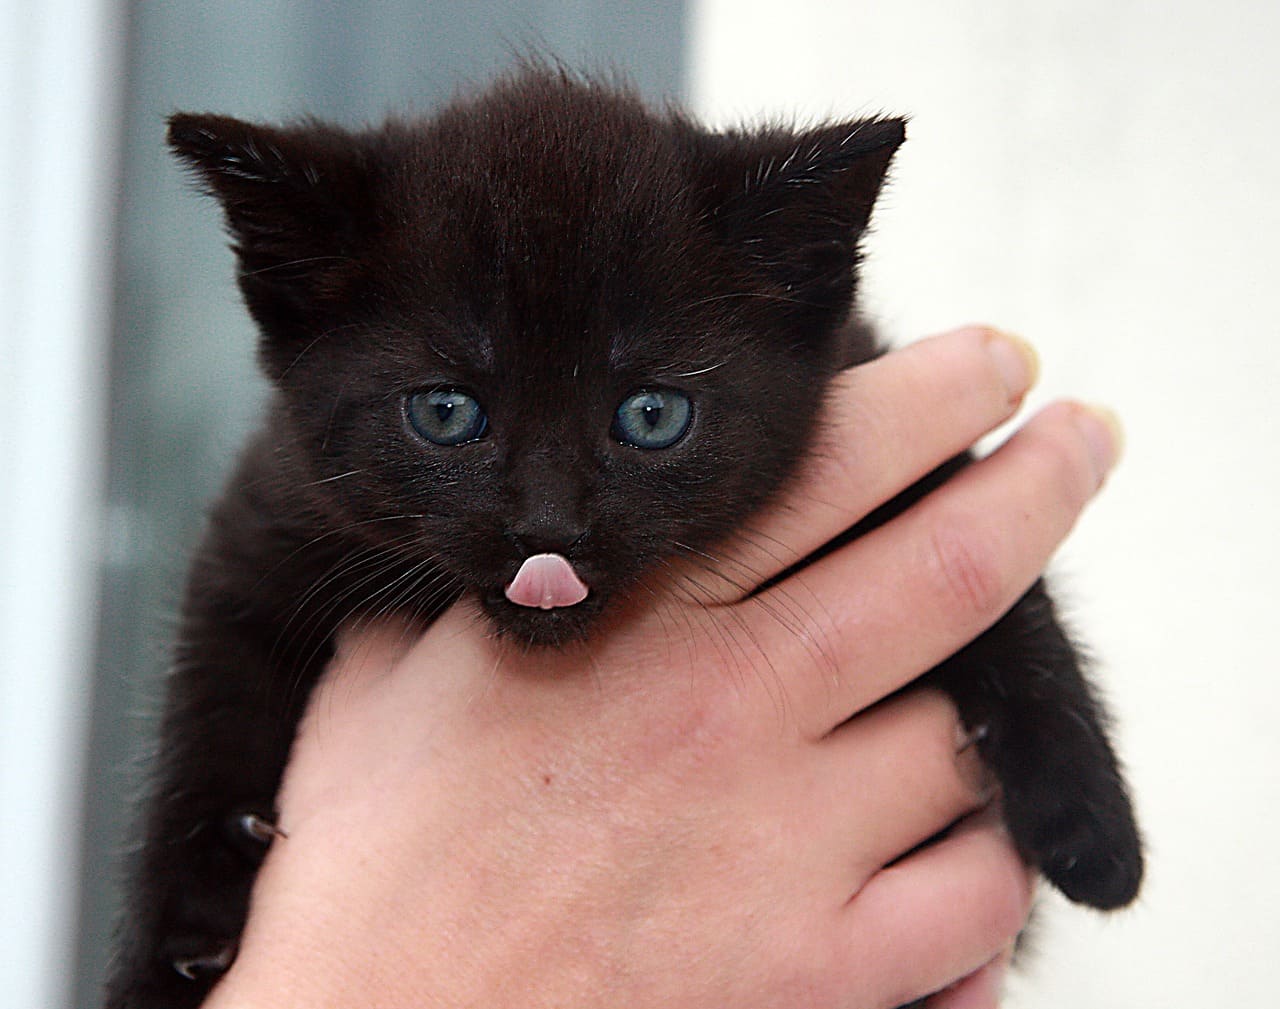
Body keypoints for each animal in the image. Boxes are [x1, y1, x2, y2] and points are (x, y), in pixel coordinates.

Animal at [102, 64, 1141, 1009]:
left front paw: (1093, 824)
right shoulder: (267, 520)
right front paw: (172, 941)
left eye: (651, 414)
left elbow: (985, 559)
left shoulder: (865, 384)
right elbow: (210, 698)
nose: (548, 525)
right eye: (445, 411)